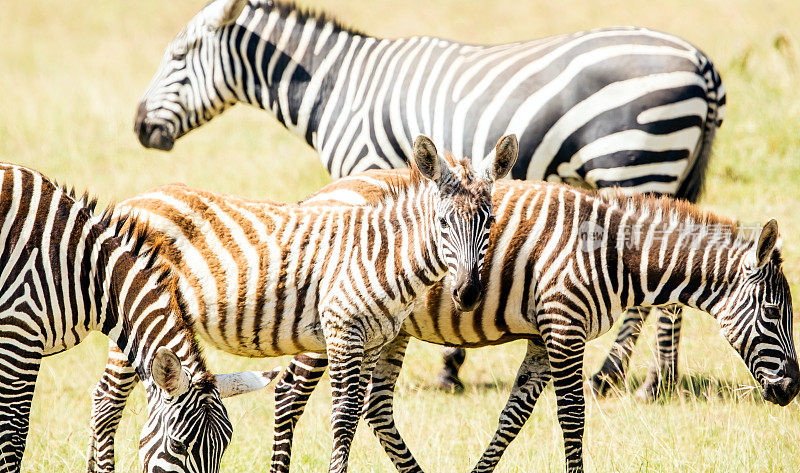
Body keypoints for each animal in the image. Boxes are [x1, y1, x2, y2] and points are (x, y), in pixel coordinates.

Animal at [83, 135, 520, 470]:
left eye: (490, 220)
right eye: (444, 223)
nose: (467, 293)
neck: (382, 255)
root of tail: (137, 199)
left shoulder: (372, 341)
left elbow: (356, 415)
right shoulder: (343, 332)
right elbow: (343, 417)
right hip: (137, 312)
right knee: (107, 402)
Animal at [134, 0, 728, 398]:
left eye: (179, 55)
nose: (140, 127)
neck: (338, 88)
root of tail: (702, 61)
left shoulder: (369, 171)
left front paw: (438, 362)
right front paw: (447, 361)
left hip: (636, 159)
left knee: (656, 293)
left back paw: (624, 378)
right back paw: (661, 379)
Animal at [266, 171, 796, 472]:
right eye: (773, 314)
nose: (790, 390)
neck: (614, 254)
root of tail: (323, 193)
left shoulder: (545, 336)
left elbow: (513, 417)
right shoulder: (564, 325)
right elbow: (572, 417)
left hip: (387, 328)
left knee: (375, 405)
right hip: (334, 322)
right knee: (290, 393)